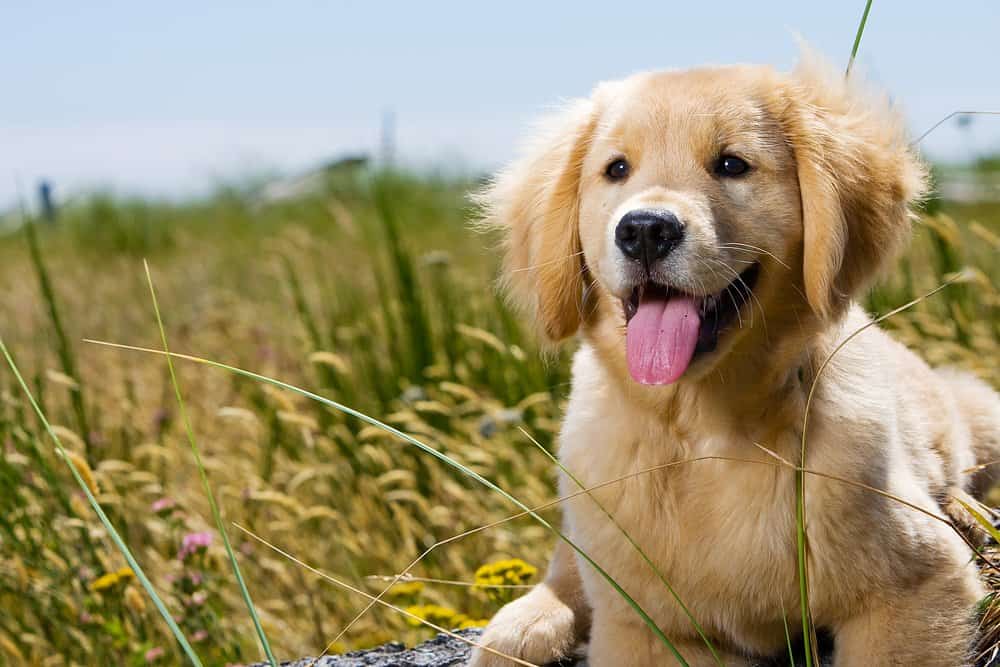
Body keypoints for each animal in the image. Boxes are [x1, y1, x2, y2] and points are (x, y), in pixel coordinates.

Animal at [468, 52, 1000, 667]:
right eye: (616, 169)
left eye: (731, 164)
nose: (644, 230)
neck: (707, 429)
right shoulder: (649, 631)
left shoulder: (915, 587)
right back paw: (526, 624)